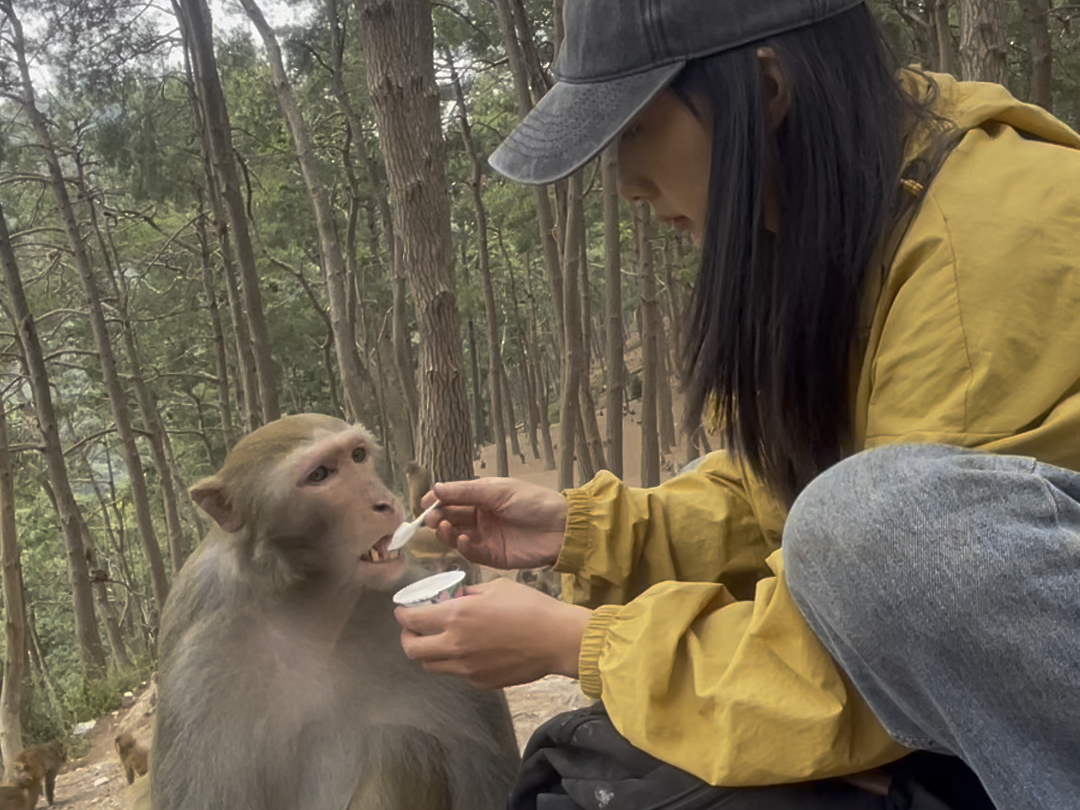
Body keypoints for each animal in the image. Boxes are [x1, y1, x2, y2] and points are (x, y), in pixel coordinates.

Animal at [149, 414, 518, 810]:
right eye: (320, 475)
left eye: (357, 455)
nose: (383, 503)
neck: (313, 606)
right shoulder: (200, 661)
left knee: (401, 743)